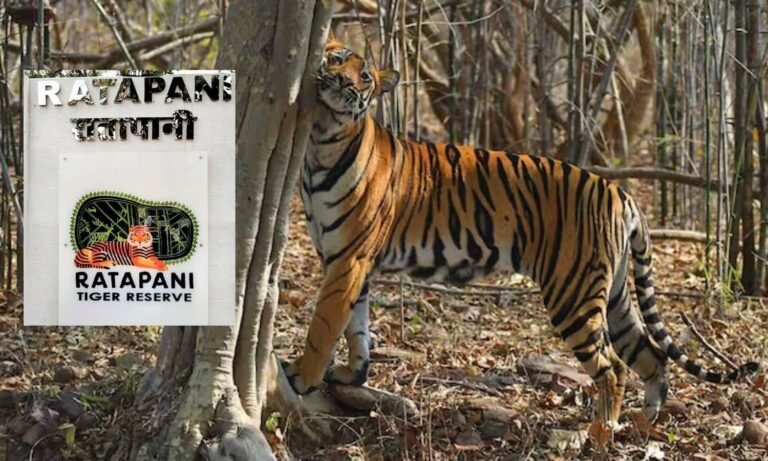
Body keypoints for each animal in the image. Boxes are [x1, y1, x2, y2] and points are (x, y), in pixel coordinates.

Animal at [282, 36, 759, 425]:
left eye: (363, 76)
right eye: (337, 58)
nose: (340, 79)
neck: (322, 140)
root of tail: (620, 192)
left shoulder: (348, 260)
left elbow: (324, 326)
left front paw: (301, 376)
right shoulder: (349, 261)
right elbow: (356, 328)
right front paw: (352, 373)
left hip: (573, 293)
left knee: (613, 367)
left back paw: (599, 435)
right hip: (616, 295)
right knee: (651, 355)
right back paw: (643, 425)